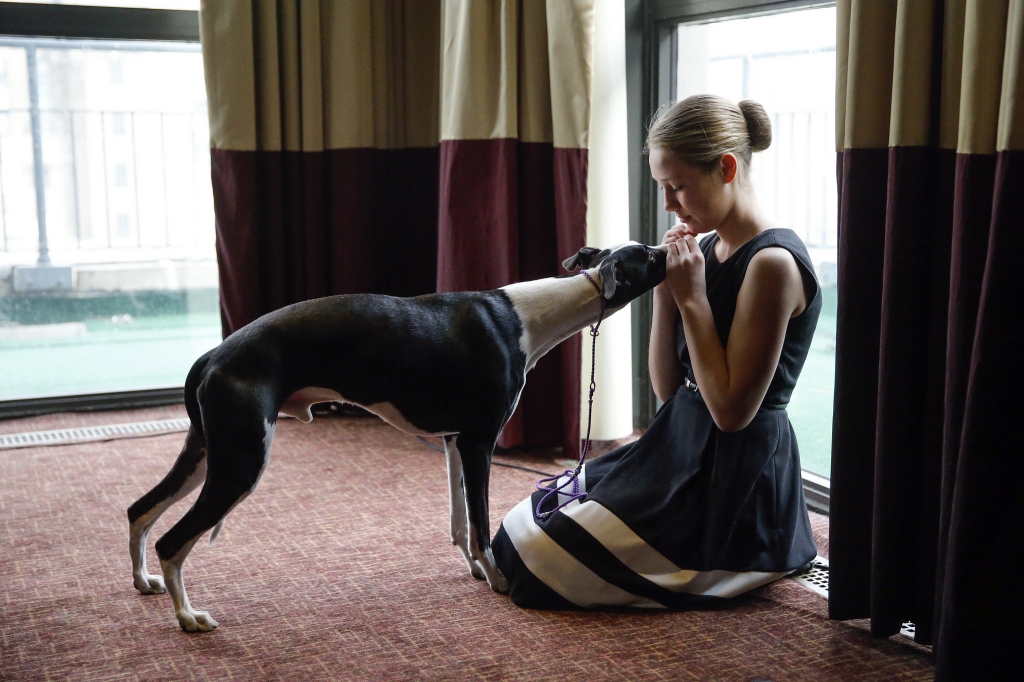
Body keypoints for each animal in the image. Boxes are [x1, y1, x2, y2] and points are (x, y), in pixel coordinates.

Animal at [128, 241, 667, 630]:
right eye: (648, 255)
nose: (673, 244)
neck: (524, 317)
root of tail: (213, 356)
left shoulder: (454, 442)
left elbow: (458, 523)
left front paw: (475, 571)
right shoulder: (479, 444)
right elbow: (479, 524)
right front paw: (496, 578)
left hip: (206, 454)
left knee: (140, 511)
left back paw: (143, 581)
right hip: (240, 465)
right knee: (172, 540)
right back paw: (188, 617)